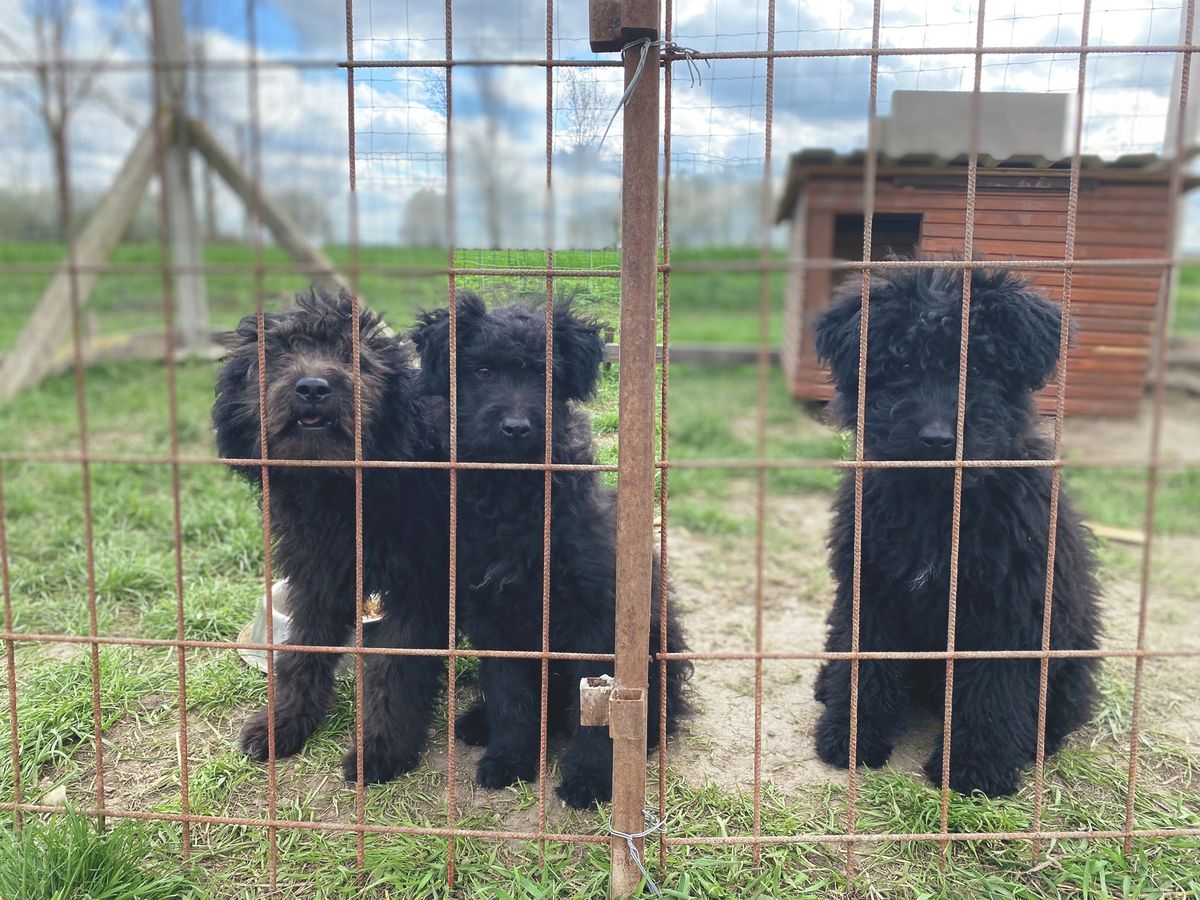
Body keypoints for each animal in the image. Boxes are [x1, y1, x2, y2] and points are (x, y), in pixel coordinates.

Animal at [211, 292, 451, 787]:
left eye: (353, 356)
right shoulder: (318, 578)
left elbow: (397, 667)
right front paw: (283, 723)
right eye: (277, 354)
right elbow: (303, 650)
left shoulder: (417, 588)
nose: (313, 387)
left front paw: (381, 748)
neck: (339, 488)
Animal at [415, 296, 691, 811]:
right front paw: (510, 757)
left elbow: (598, 706)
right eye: (481, 369)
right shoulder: (493, 614)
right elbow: (508, 694)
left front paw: (591, 776)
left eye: (545, 374)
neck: (517, 499)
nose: (516, 427)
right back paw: (479, 721)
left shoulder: (596, 614)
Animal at [811, 266, 1099, 796]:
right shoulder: (873, 592)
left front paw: (976, 766)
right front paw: (851, 735)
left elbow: (992, 692)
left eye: (982, 368)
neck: (941, 502)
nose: (937, 438)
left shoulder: (1008, 612)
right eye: (901, 363)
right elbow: (867, 665)